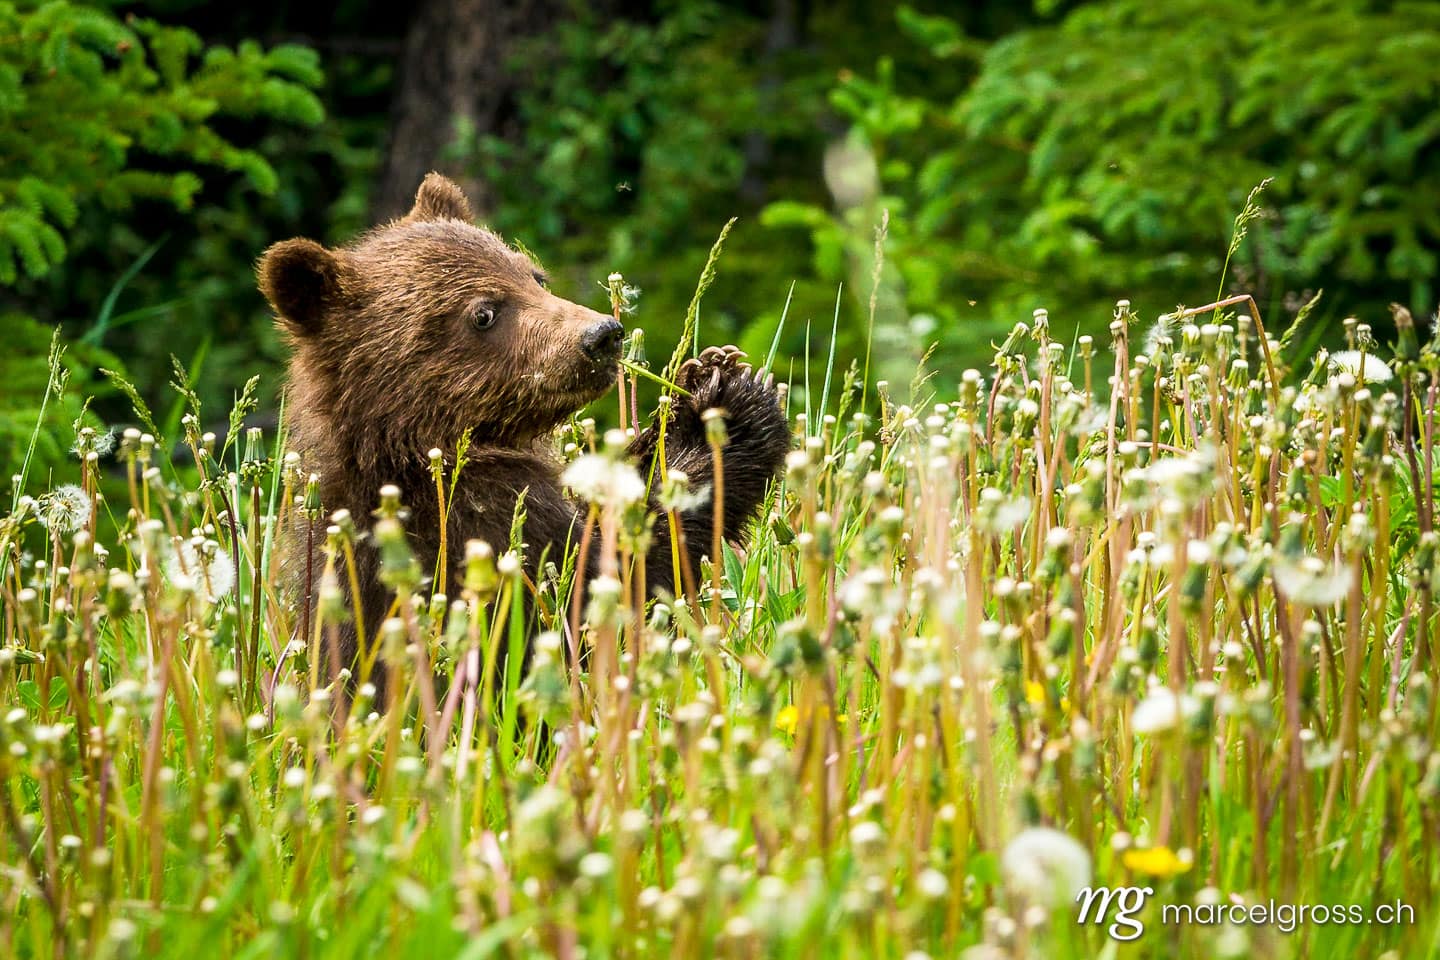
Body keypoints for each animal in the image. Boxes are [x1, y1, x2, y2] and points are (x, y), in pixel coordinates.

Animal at [258, 172, 790, 690]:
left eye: (534, 276)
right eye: (484, 312)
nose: (602, 335)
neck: (408, 451)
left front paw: (703, 374)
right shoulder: (480, 539)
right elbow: (614, 584)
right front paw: (728, 406)